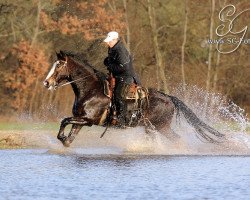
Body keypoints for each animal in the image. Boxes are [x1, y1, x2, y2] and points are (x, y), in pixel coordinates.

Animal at [43, 50, 225, 147]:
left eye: (58, 66)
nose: (46, 82)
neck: (90, 90)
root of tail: (169, 98)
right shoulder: (81, 119)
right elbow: (69, 135)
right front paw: (64, 139)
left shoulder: (88, 120)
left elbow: (65, 120)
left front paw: (61, 137)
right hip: (151, 127)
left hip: (161, 126)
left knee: (177, 140)